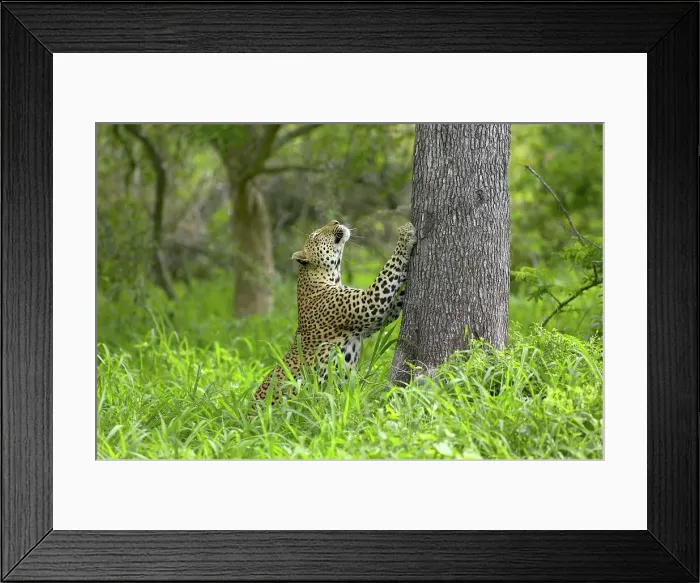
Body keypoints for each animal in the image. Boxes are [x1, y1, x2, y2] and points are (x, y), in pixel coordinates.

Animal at [251, 219, 417, 411]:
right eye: (316, 235)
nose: (335, 221)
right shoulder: (370, 303)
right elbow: (389, 270)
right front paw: (405, 234)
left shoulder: (377, 318)